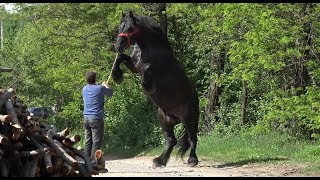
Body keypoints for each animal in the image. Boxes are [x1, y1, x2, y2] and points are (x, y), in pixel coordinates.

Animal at [113, 10, 200, 167]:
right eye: (120, 27)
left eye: (130, 28)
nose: (118, 46)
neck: (150, 47)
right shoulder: (134, 66)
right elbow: (121, 58)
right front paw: (117, 76)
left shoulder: (151, 69)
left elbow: (147, 67)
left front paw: (146, 86)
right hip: (164, 119)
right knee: (171, 140)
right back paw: (160, 161)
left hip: (189, 118)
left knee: (192, 138)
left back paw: (192, 160)